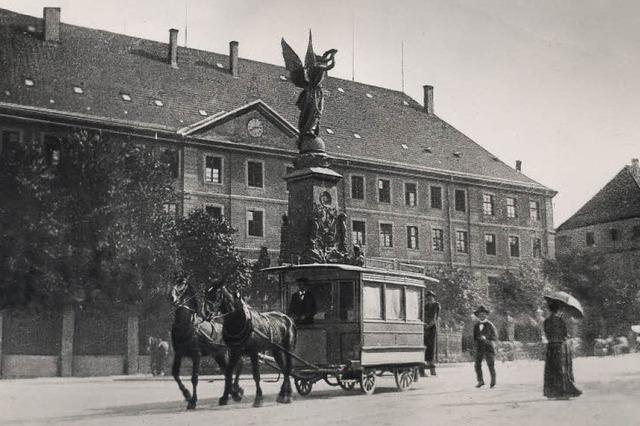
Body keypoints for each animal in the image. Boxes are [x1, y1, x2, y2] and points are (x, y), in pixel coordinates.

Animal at [169, 280, 244, 410]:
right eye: (174, 283)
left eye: (182, 284)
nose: (172, 297)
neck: (185, 325)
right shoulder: (178, 353)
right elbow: (175, 374)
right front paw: (187, 395)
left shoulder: (196, 355)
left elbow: (194, 378)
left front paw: (193, 401)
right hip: (219, 355)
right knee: (227, 372)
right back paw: (230, 394)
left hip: (228, 352)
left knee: (236, 366)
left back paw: (235, 392)